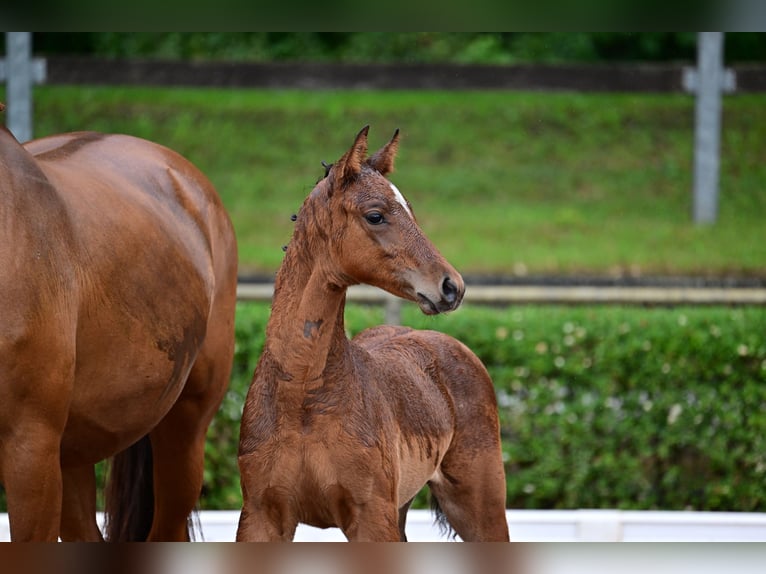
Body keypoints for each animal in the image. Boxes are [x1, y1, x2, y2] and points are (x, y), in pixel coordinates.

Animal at [236, 127, 510, 544]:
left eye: (411, 210)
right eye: (376, 215)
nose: (452, 286)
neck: (302, 398)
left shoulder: (370, 516)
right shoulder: (261, 516)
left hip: (479, 503)